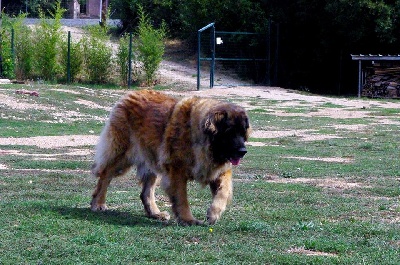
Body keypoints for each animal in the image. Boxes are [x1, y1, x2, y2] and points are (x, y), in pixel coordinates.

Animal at [91, 89, 250, 224]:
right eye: (229, 132)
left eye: (242, 133)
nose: (243, 151)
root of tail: (131, 93)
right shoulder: (176, 169)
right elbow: (181, 198)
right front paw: (187, 219)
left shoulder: (220, 170)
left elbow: (224, 191)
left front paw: (214, 213)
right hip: (122, 155)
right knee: (105, 175)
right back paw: (98, 203)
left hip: (152, 161)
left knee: (146, 192)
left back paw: (155, 213)